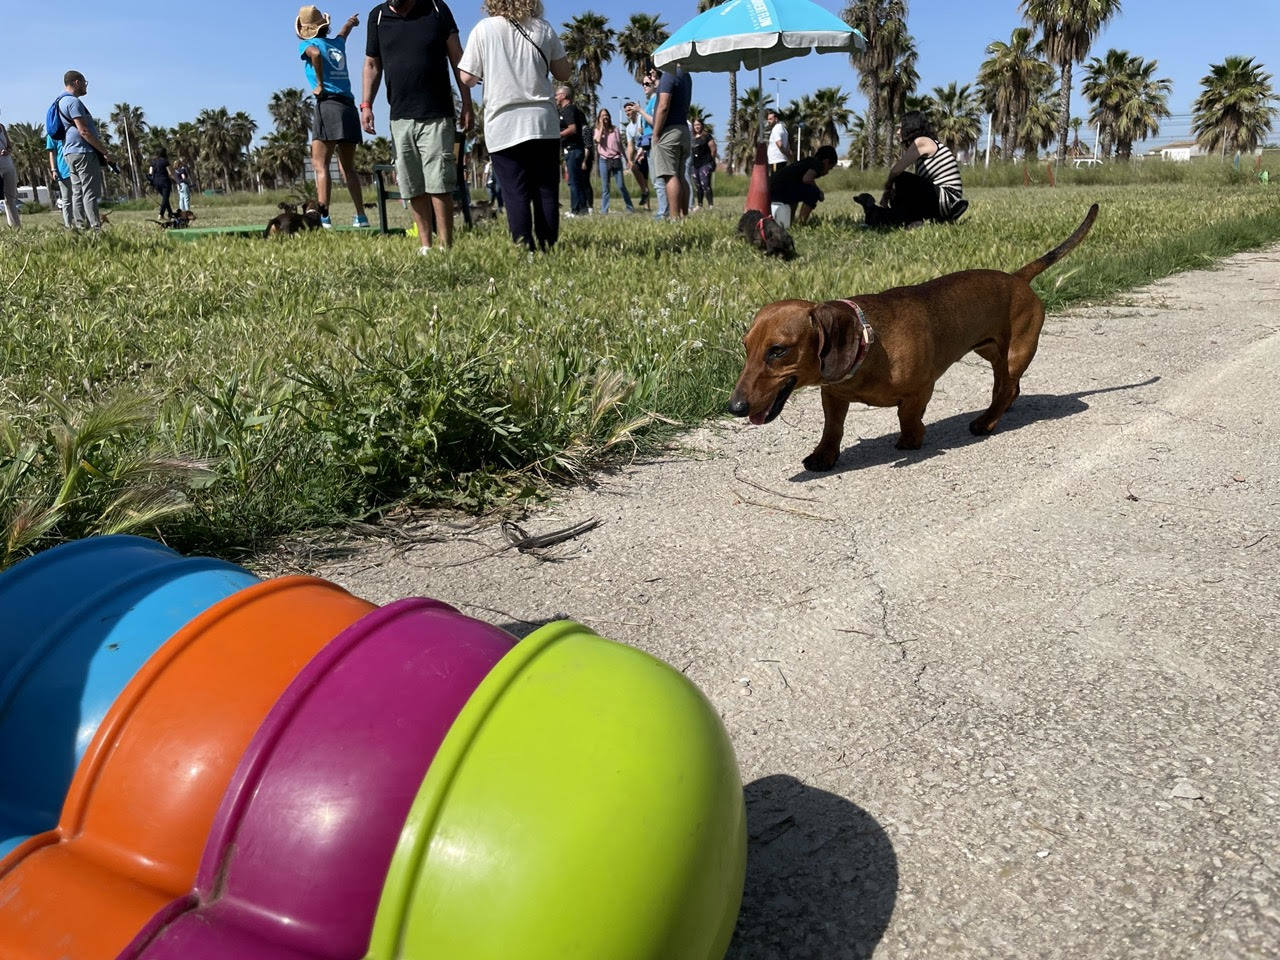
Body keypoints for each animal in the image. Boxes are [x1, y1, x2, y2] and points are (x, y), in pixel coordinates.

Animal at [727, 203, 1095, 473]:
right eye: (746, 347)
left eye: (778, 350)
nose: (734, 407)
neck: (868, 344)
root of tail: (1017, 278)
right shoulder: (832, 394)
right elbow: (832, 428)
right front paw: (823, 455)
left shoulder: (921, 387)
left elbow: (907, 415)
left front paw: (911, 439)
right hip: (991, 350)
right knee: (1008, 386)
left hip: (1016, 351)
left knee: (1006, 387)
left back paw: (987, 420)